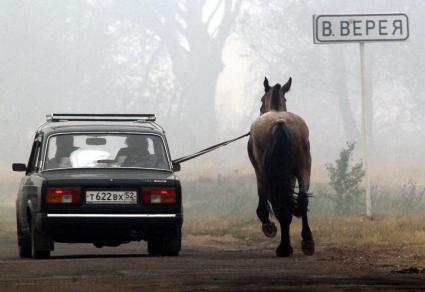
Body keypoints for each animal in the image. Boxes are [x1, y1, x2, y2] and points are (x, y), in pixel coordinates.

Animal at [247, 77, 314, 258]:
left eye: (261, 100)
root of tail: (279, 122)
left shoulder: (260, 173)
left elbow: (264, 206)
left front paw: (269, 226)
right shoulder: (289, 176)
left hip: (268, 175)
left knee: (279, 205)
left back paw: (284, 247)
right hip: (304, 168)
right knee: (302, 200)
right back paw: (307, 241)